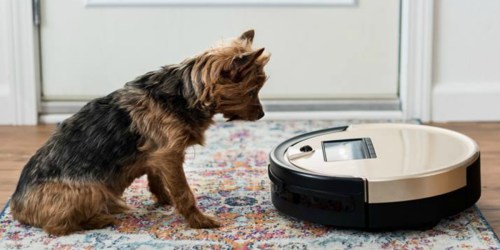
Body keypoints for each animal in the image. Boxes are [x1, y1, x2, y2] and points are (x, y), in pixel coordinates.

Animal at [10, 29, 270, 234]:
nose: (262, 115)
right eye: (251, 90)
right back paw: (101, 218)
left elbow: (157, 180)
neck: (185, 93)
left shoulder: (157, 155)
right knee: (57, 226)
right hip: (92, 190)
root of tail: (17, 206)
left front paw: (165, 200)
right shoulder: (169, 155)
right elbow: (184, 193)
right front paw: (199, 221)